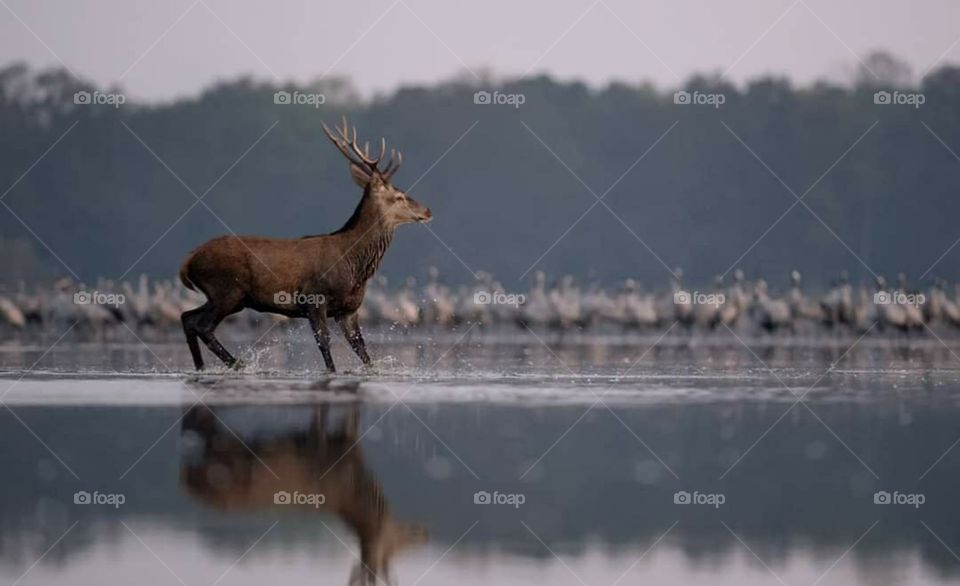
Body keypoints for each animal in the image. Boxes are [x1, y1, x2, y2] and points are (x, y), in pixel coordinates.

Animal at [178, 117, 432, 371]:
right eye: (399, 196)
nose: (428, 211)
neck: (355, 265)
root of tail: (188, 261)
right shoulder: (315, 298)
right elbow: (324, 343)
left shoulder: (349, 310)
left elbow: (362, 350)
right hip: (227, 290)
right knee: (203, 326)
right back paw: (238, 364)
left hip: (225, 297)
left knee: (187, 317)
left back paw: (202, 367)